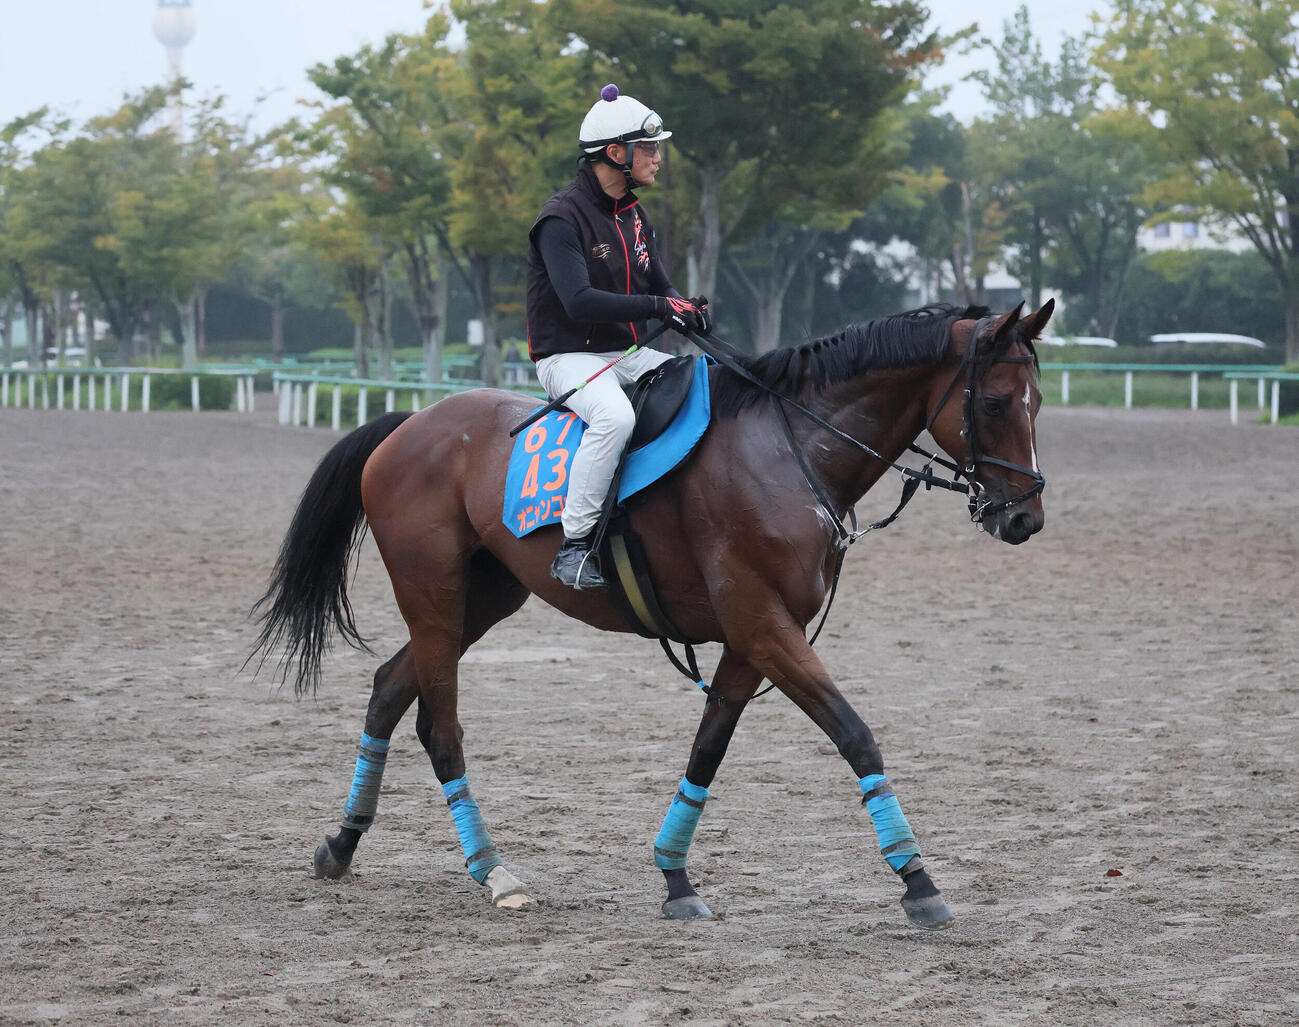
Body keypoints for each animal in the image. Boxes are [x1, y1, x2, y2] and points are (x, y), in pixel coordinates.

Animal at [250, 299, 1053, 930]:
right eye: (993, 403)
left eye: (1037, 402)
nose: (1024, 518)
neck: (789, 448)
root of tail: (411, 422)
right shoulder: (766, 627)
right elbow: (856, 737)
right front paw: (917, 880)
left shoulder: (750, 639)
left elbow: (706, 751)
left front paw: (675, 877)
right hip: (436, 601)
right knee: (438, 727)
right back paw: (493, 870)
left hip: (477, 602)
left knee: (389, 688)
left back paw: (342, 843)